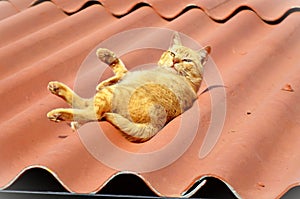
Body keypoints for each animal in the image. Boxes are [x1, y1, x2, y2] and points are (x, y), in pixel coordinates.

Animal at [47, 32, 211, 141]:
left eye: (187, 60)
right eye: (172, 54)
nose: (175, 61)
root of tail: (155, 121)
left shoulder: (126, 76)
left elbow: (118, 65)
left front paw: (104, 54)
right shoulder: (126, 75)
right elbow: (118, 71)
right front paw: (102, 81)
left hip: (110, 94)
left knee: (92, 113)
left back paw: (57, 113)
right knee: (85, 105)